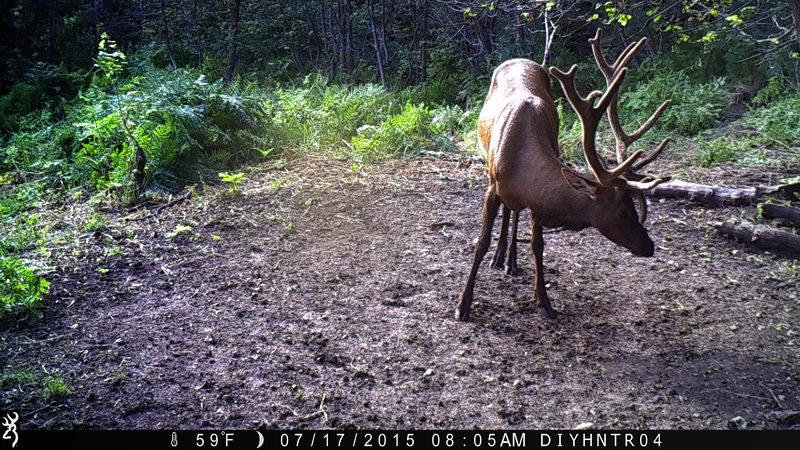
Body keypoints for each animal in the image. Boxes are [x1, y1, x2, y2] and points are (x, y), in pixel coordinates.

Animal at [456, 29, 671, 321]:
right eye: (623, 212)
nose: (649, 246)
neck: (519, 160)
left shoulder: (535, 201)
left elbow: (537, 245)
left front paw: (543, 301)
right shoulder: (492, 186)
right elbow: (481, 242)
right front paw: (463, 304)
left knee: (514, 212)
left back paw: (509, 259)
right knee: (508, 211)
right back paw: (499, 257)